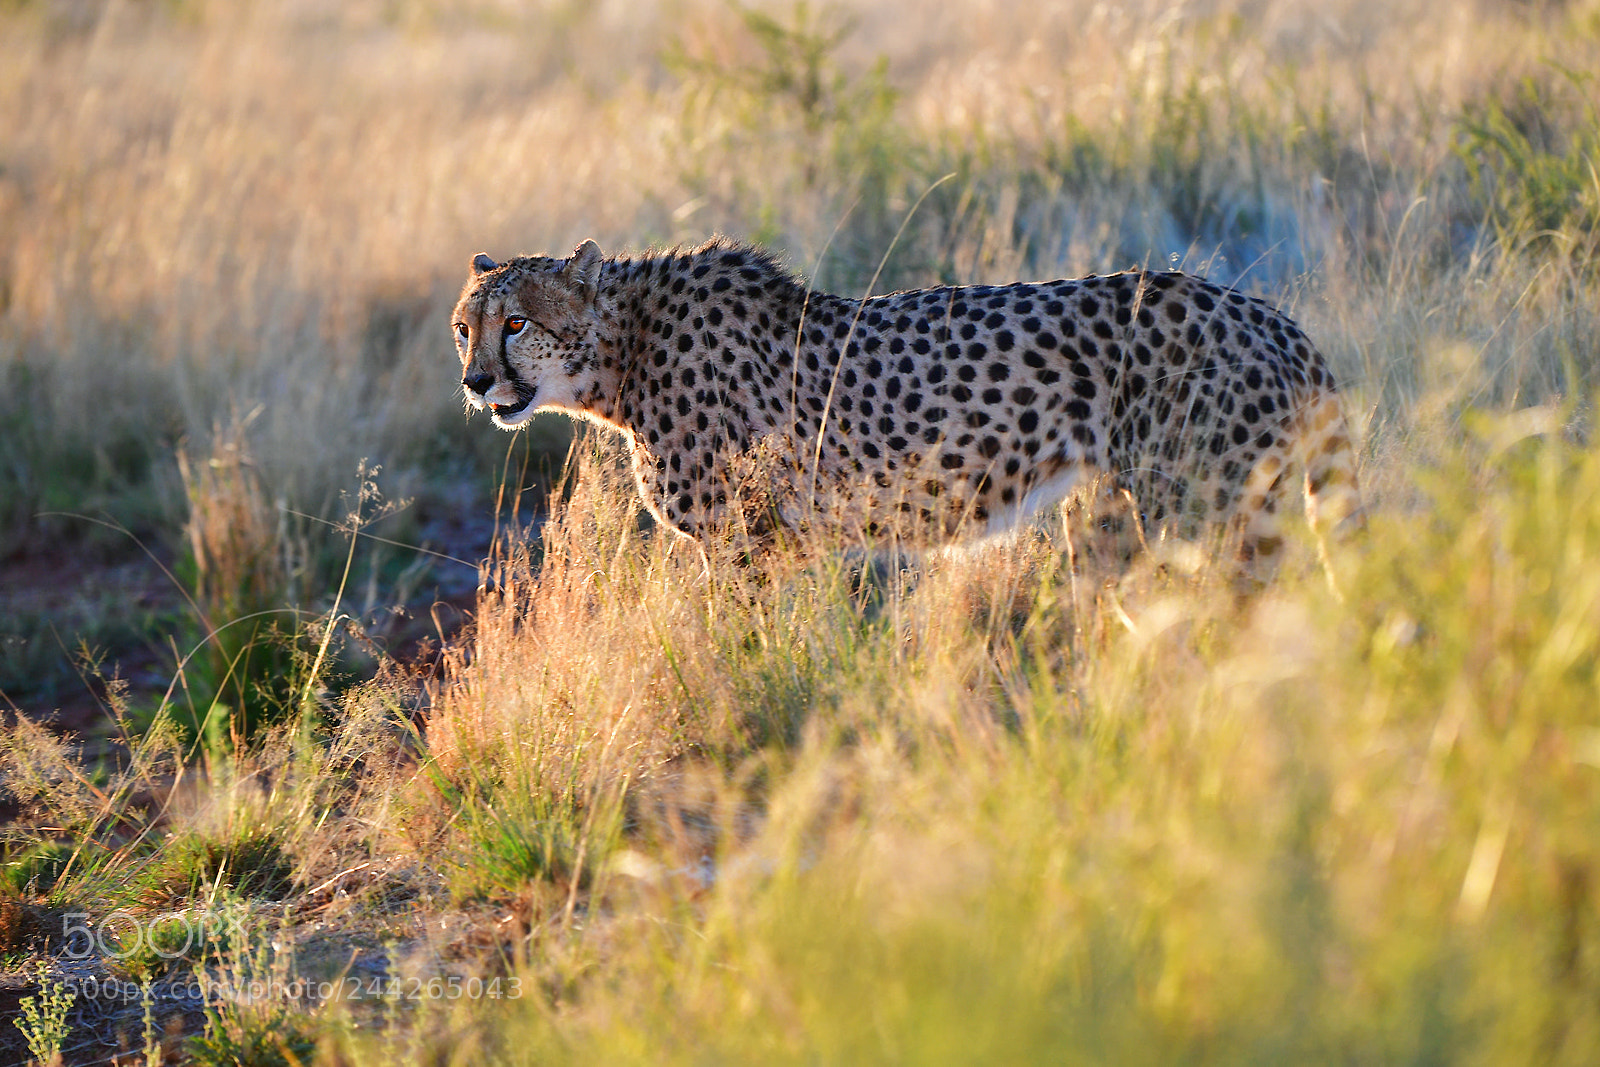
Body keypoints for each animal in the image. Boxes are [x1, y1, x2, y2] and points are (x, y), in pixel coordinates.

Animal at [451, 237, 1361, 572]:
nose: (474, 383)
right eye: (465, 329)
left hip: (1203, 509)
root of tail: (1261, 310)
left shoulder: (750, 543)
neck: (622, 354)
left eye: (517, 322)